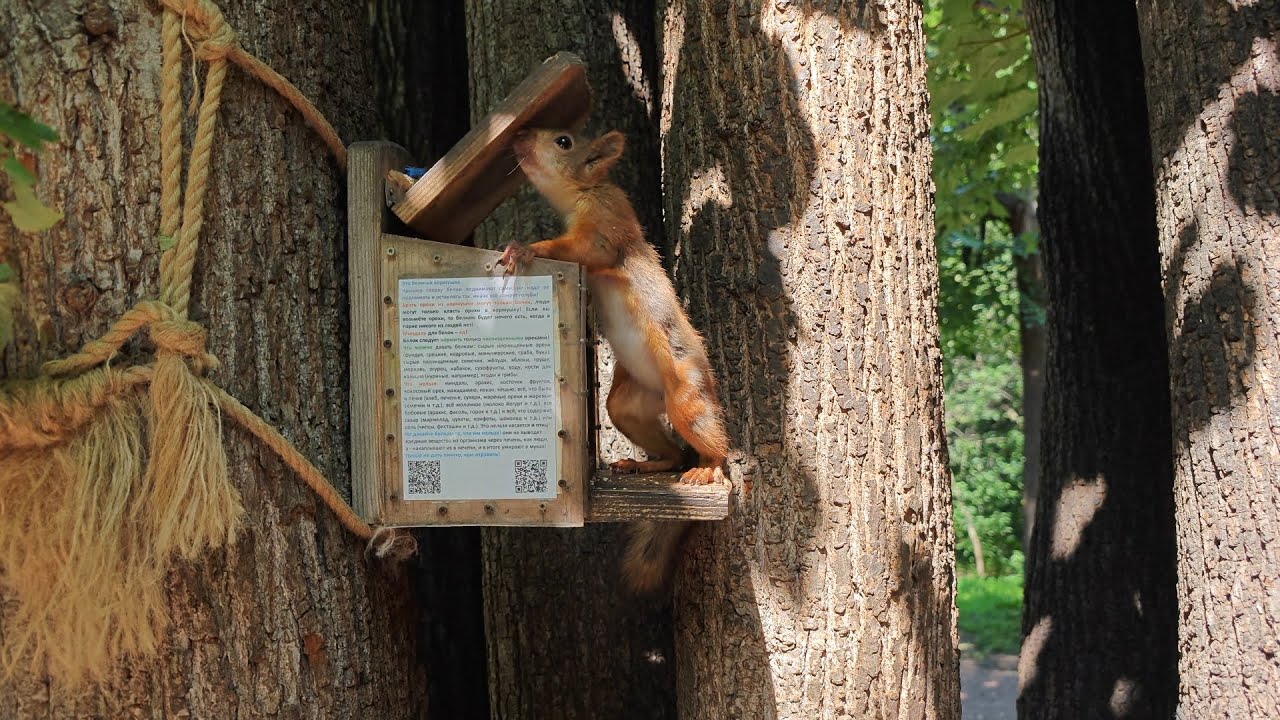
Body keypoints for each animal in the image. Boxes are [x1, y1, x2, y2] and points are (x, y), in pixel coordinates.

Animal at [499, 127, 729, 593]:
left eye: (564, 141)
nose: (519, 134)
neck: (584, 191)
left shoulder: (605, 224)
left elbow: (587, 249)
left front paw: (524, 248)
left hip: (687, 396)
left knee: (711, 445)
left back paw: (707, 469)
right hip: (627, 405)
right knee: (670, 452)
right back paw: (639, 464)